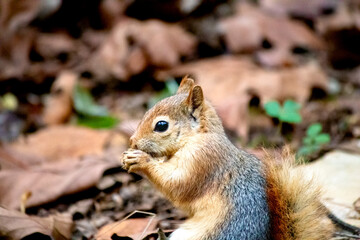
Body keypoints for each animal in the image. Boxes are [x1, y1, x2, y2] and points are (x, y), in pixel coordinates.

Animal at [121, 77, 338, 240]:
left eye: (161, 125)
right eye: (147, 111)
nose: (133, 141)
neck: (199, 136)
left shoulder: (204, 159)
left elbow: (178, 183)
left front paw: (140, 160)